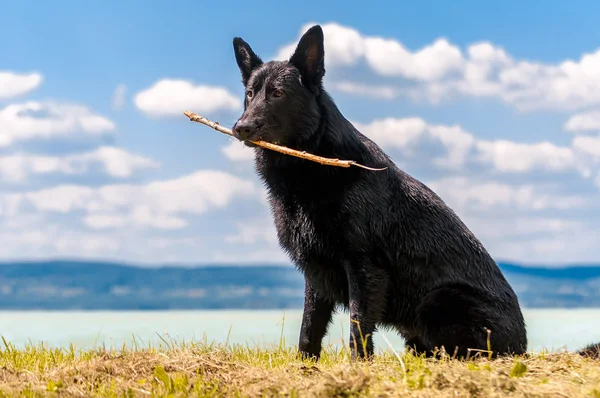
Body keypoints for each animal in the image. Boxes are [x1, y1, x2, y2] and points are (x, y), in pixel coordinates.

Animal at [230, 24, 568, 360]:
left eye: (278, 93)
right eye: (250, 94)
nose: (241, 128)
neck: (314, 166)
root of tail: (522, 348)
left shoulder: (364, 269)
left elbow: (357, 327)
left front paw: (357, 366)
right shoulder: (317, 275)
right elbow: (309, 328)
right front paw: (305, 365)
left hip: (437, 300)